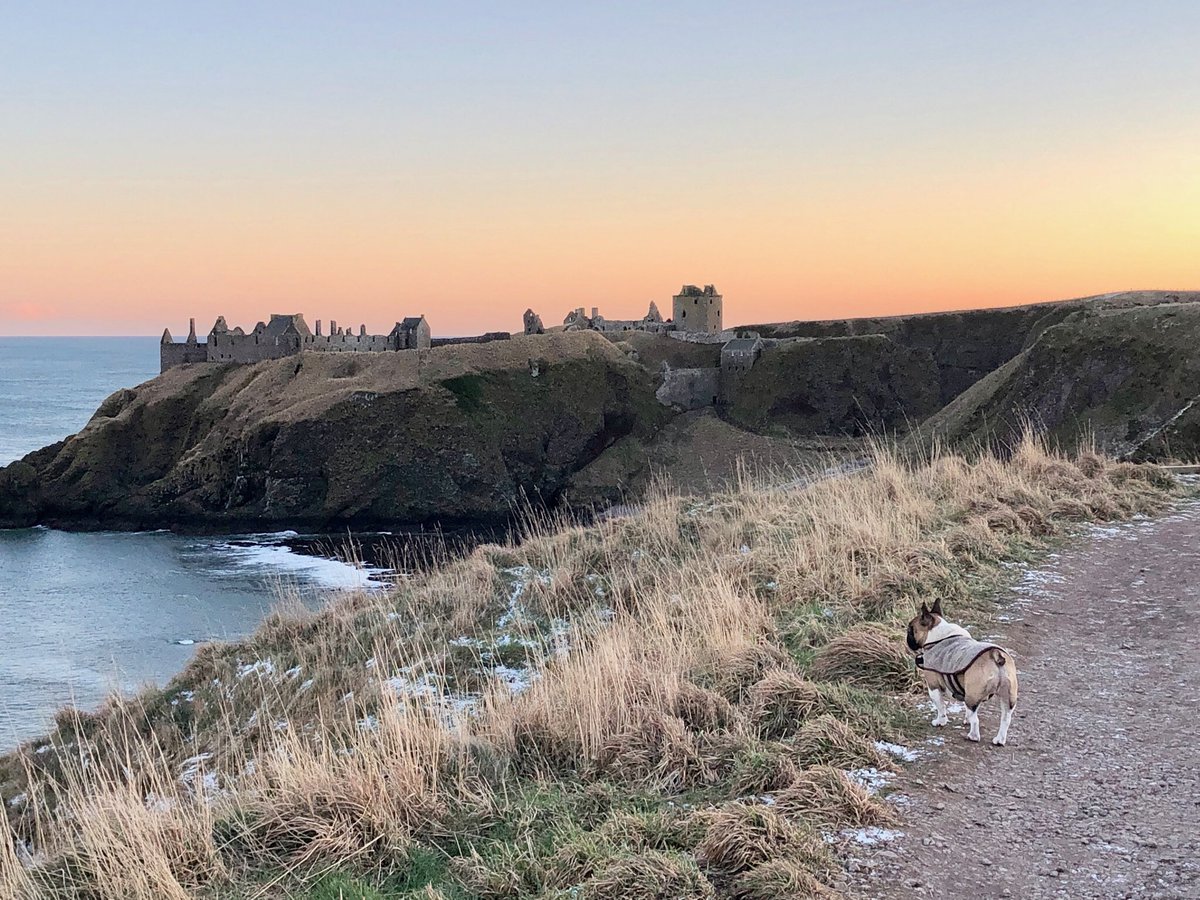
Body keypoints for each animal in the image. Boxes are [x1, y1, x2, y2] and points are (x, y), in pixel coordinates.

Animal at [902, 600, 1017, 748]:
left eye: (910, 629)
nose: (907, 638)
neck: (937, 635)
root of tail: (996, 655)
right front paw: (966, 719)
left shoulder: (933, 687)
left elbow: (940, 707)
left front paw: (940, 721)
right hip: (1007, 696)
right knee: (1005, 719)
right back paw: (999, 740)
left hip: (972, 696)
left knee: (976, 719)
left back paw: (972, 736)